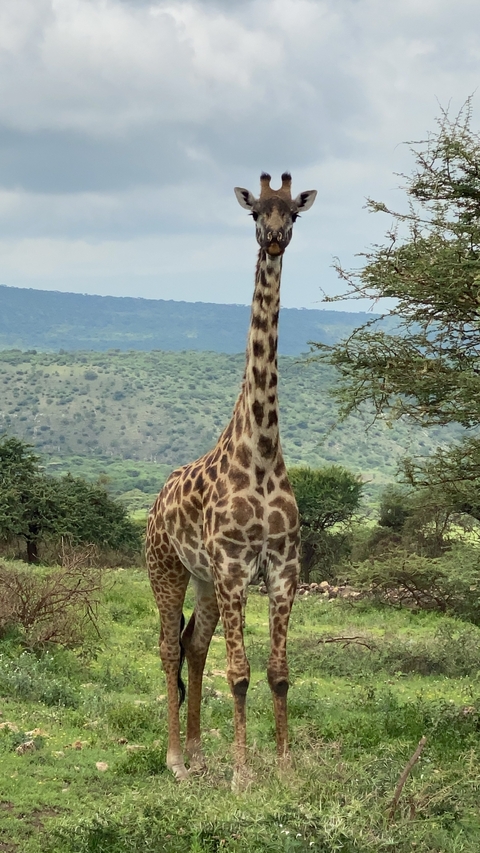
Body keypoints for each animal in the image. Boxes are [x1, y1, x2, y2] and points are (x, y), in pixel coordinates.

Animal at [146, 172, 317, 787]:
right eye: (254, 214)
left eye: (293, 211)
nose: (274, 238)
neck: (262, 452)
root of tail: (155, 502)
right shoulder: (236, 568)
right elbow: (239, 672)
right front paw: (244, 776)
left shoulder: (284, 569)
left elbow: (279, 672)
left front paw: (286, 769)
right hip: (167, 570)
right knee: (169, 649)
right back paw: (175, 759)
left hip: (203, 579)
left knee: (193, 646)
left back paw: (198, 754)